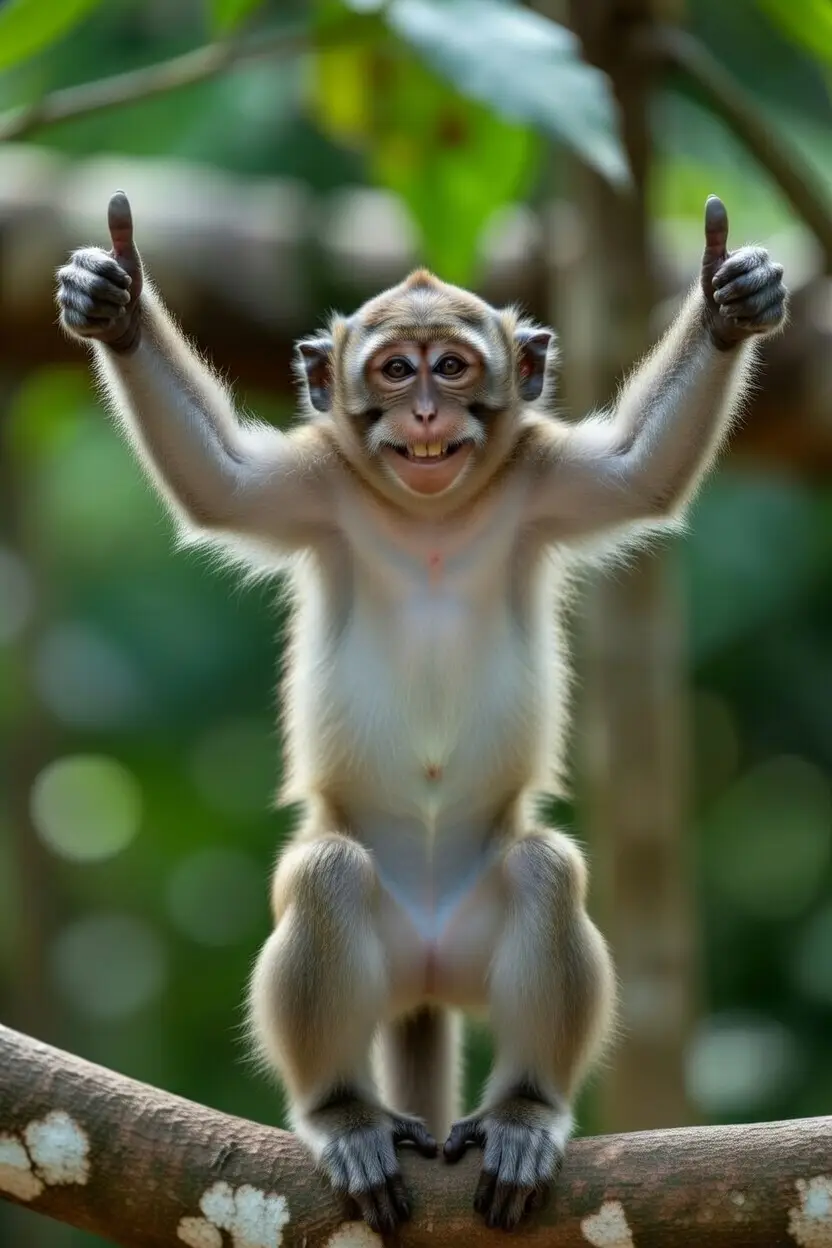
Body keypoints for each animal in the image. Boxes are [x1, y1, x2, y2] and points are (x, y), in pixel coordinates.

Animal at [56, 191, 786, 1233]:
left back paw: (524, 1111)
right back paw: (345, 1116)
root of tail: (429, 965)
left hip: (473, 935)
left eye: (454, 366)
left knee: (543, 869)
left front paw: (732, 302)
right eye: (395, 370)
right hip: (382, 940)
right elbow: (218, 481)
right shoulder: (315, 482)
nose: (428, 414)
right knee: (326, 874)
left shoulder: (542, 473)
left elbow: (640, 472)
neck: (431, 513)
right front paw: (112, 302)